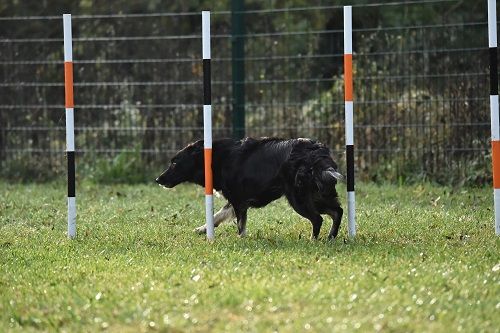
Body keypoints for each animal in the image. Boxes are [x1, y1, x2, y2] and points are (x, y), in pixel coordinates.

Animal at [156, 137, 344, 239]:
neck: (215, 159)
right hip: (317, 195)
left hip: (298, 198)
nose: (158, 179)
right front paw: (203, 228)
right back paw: (331, 237)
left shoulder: (238, 201)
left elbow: (240, 225)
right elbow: (218, 215)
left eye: (174, 163)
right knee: (337, 211)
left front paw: (241, 239)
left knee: (318, 219)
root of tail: (317, 152)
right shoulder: (235, 200)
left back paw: (313, 239)